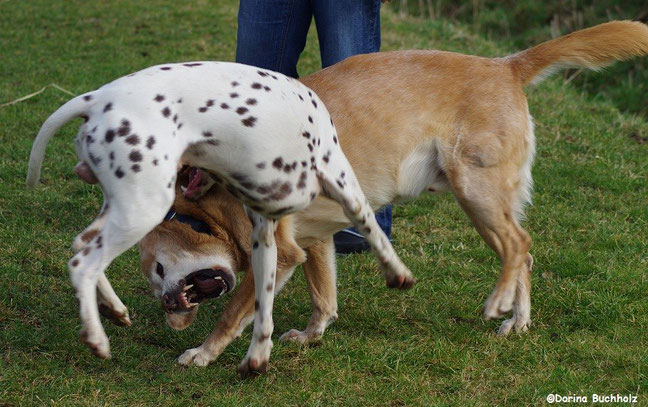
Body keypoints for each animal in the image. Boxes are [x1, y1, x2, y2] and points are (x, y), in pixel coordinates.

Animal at [27, 62, 416, 378]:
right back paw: (96, 336)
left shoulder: (270, 243)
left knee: (82, 243)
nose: (168, 304)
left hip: (126, 206)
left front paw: (256, 354)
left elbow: (262, 311)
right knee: (83, 261)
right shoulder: (337, 181)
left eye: (159, 273)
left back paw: (114, 308)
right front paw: (397, 272)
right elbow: (369, 224)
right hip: (142, 209)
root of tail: (95, 98)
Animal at [133, 20, 648, 368]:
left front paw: (203, 353)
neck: (214, 205)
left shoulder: (279, 253)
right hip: (492, 199)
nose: (168, 310)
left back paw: (498, 304)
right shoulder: (315, 243)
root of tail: (505, 66)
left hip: (475, 192)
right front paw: (313, 335)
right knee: (523, 253)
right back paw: (517, 320)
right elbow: (324, 297)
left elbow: (235, 313)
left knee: (519, 245)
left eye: (159, 270)